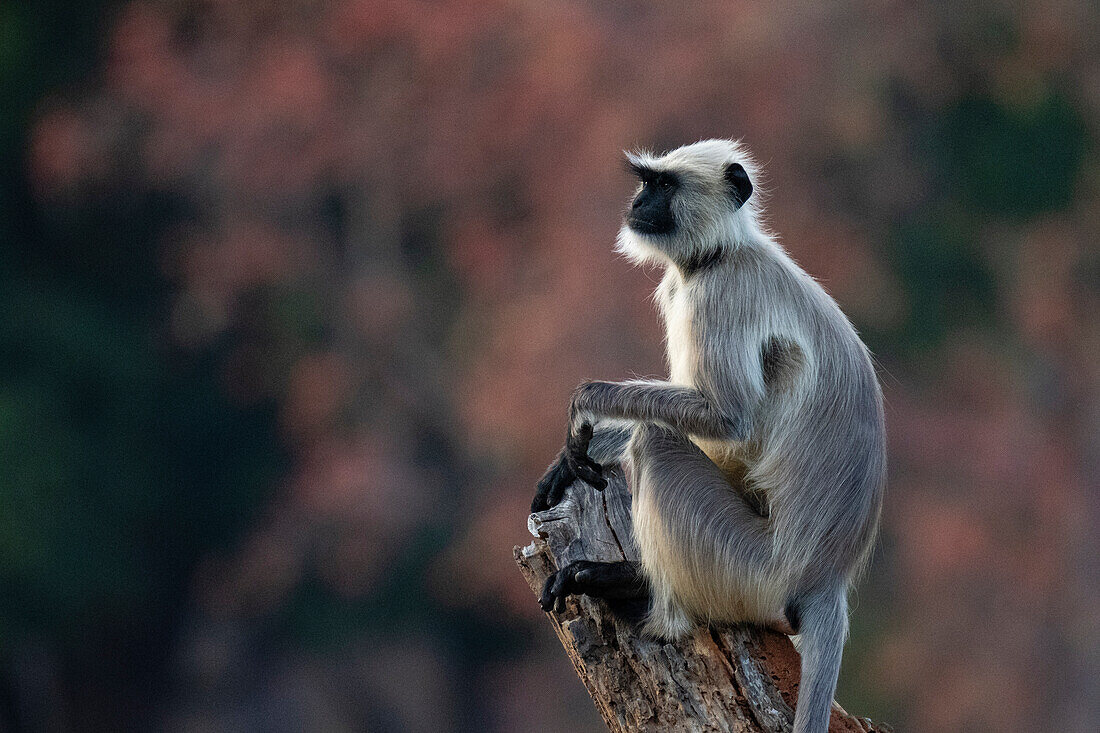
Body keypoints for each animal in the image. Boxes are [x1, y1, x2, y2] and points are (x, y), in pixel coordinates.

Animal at [530, 139, 884, 730]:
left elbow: (728, 419)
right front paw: (568, 460)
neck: (717, 254)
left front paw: (584, 408)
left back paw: (641, 595)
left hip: (746, 570)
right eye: (645, 182)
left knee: (655, 441)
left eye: (664, 185)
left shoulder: (720, 294)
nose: (638, 202)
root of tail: (826, 577)